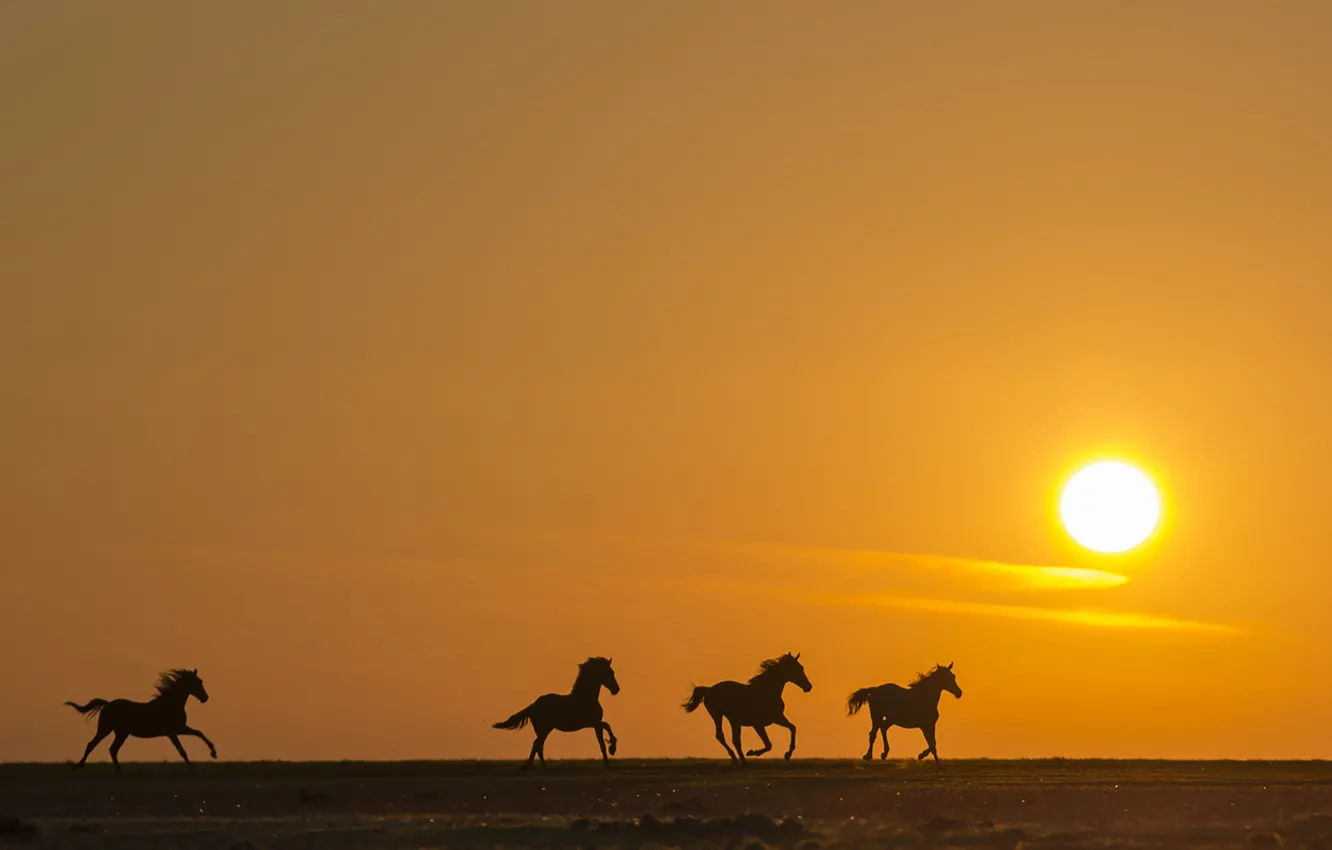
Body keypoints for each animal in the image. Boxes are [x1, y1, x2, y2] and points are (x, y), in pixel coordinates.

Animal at [67, 671, 217, 772]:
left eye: (200, 681)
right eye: (196, 682)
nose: (205, 698)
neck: (171, 704)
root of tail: (108, 704)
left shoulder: (180, 728)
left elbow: (199, 733)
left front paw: (213, 753)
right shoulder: (173, 732)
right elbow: (182, 750)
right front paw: (192, 768)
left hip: (121, 733)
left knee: (112, 749)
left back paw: (120, 772)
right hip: (105, 729)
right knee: (92, 745)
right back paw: (79, 766)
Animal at [492, 660, 620, 772]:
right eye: (610, 672)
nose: (616, 689)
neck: (586, 697)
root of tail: (533, 705)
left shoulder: (594, 724)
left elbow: (604, 733)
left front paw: (611, 754)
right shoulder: (594, 723)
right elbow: (604, 736)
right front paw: (611, 753)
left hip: (544, 730)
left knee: (538, 745)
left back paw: (541, 766)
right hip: (544, 729)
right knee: (537, 744)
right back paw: (533, 766)